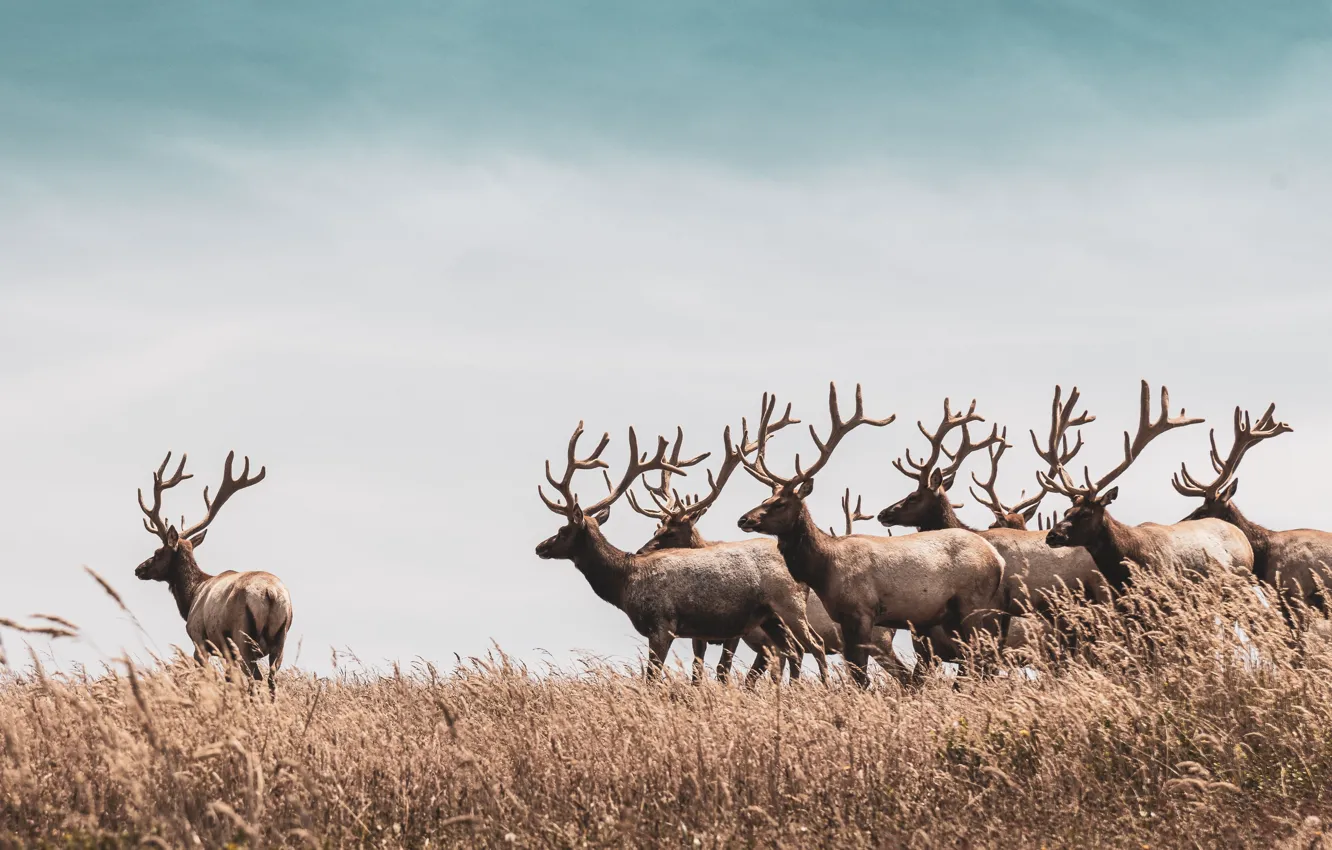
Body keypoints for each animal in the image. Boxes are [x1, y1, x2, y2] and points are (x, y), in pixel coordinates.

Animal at [134, 452, 293, 695]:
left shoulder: (199, 638)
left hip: (241, 636)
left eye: (158, 552)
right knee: (271, 680)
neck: (191, 597)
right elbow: (229, 680)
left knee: (254, 678)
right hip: (281, 638)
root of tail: (271, 593)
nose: (139, 569)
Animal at [535, 421, 826, 683]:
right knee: (794, 651)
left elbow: (652, 677)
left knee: (814, 645)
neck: (624, 581)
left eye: (563, 530)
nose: (540, 547)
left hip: (788, 603)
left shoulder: (663, 623)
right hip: (769, 617)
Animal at [735, 383, 1006, 689]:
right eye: (765, 498)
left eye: (780, 503)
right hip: (952, 615)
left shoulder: (861, 611)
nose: (744, 519)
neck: (824, 568)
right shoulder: (844, 617)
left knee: (981, 655)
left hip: (973, 603)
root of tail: (998, 560)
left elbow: (859, 676)